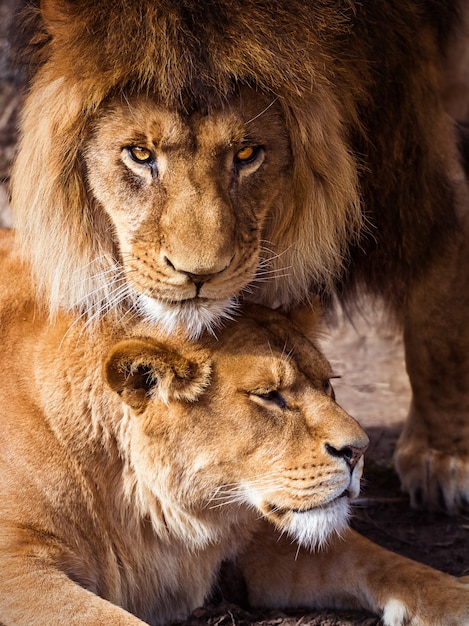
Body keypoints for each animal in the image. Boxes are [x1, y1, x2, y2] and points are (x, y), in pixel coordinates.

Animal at [0, 225, 468, 624]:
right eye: (269, 395)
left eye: (327, 384)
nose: (359, 450)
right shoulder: (17, 567)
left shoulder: (260, 532)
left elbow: (384, 561)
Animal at [9, 0, 468, 508]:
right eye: (139, 154)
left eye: (247, 154)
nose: (199, 274)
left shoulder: (408, 143)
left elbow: (440, 308)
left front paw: (442, 456)